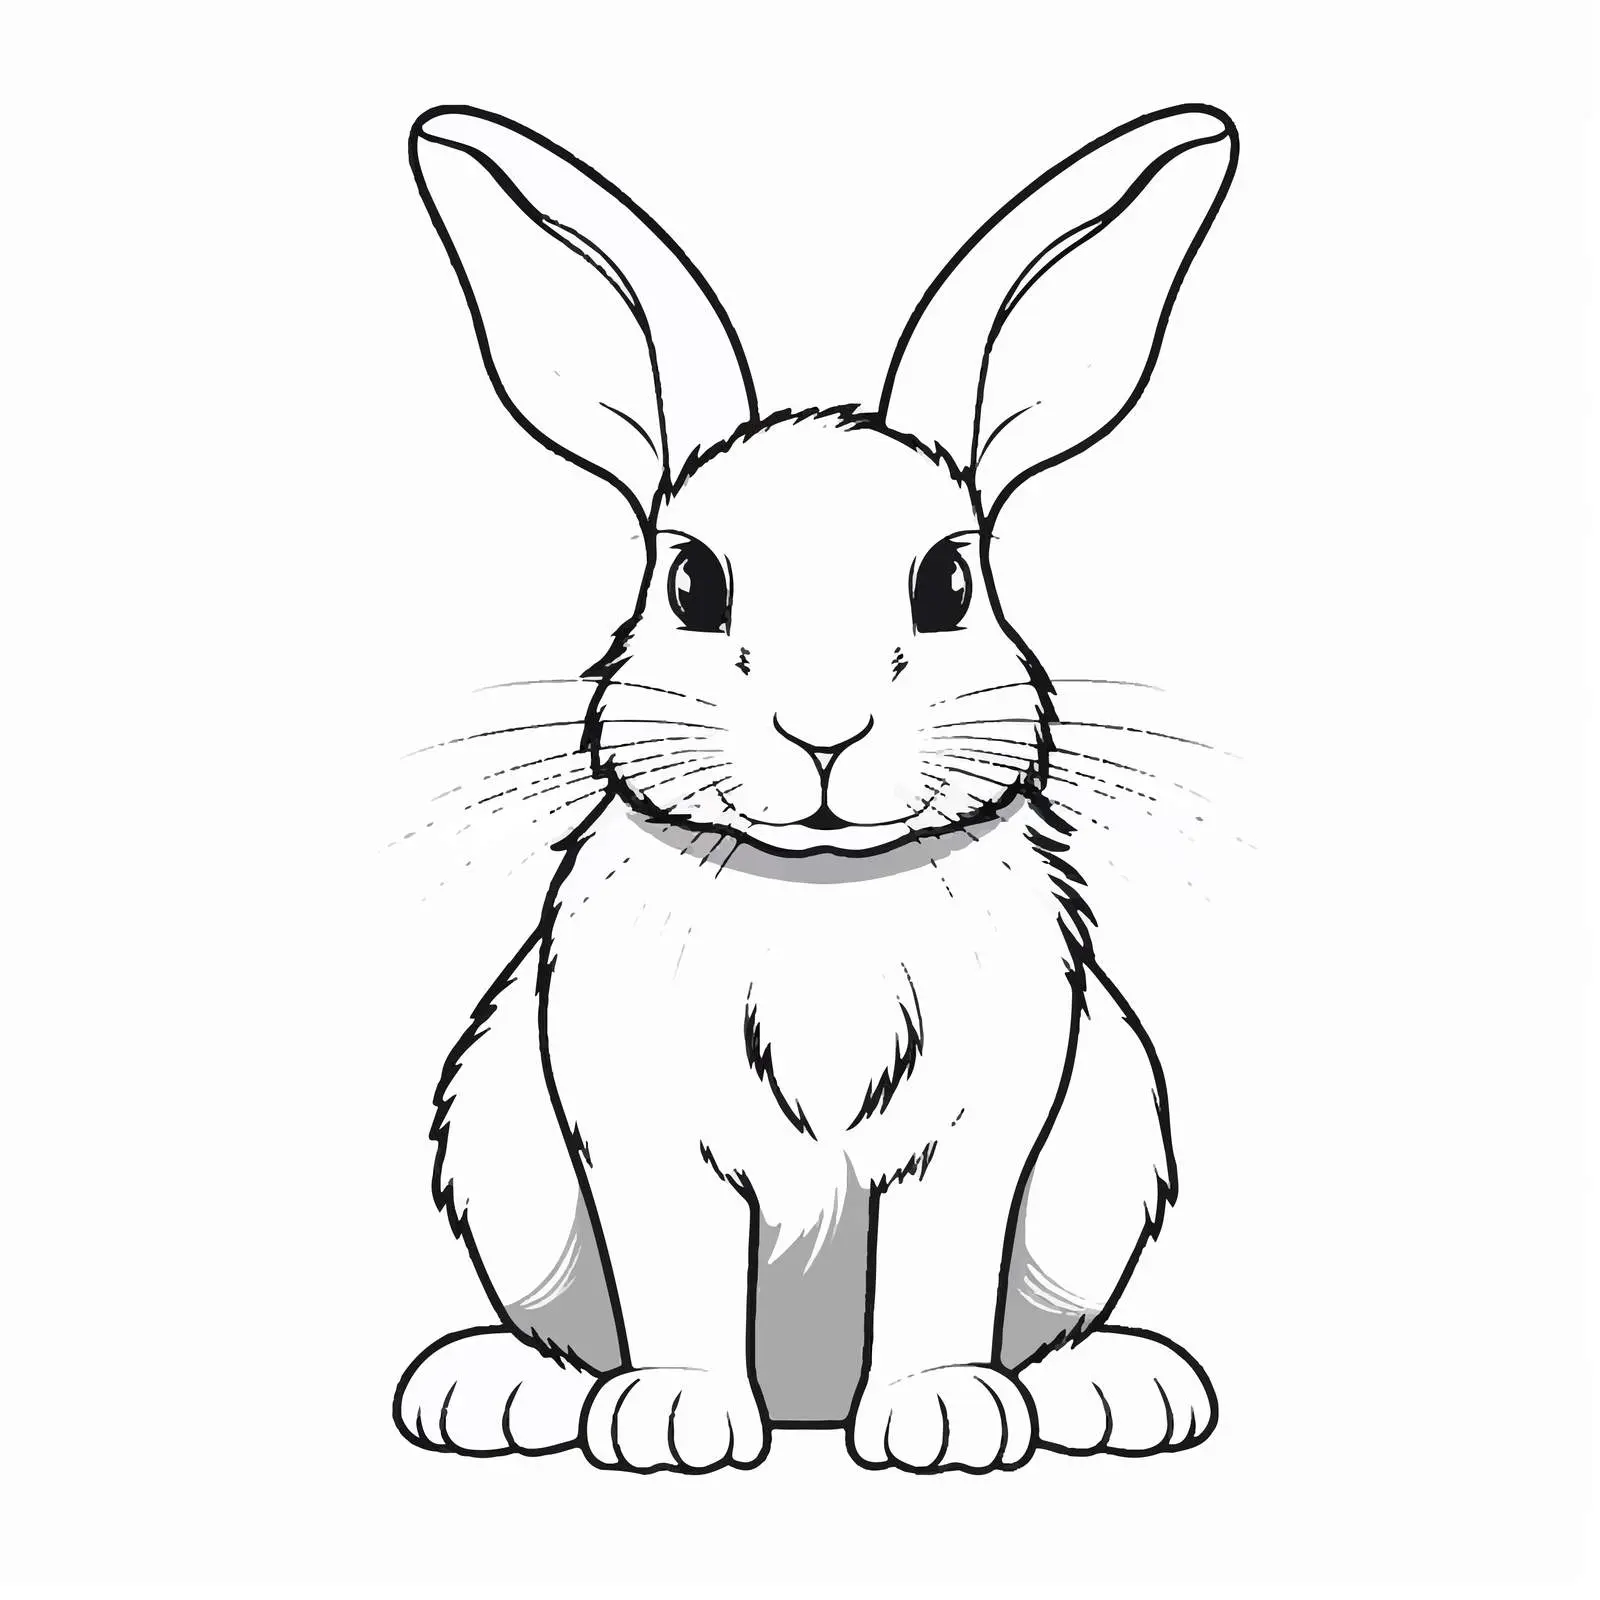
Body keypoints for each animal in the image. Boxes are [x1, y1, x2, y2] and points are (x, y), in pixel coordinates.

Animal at [394, 101, 1237, 1473]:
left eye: (948, 583)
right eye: (692, 584)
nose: (823, 733)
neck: (821, 891)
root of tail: (807, 1401)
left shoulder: (971, 1137)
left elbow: (939, 1275)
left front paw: (943, 1418)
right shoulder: (642, 1131)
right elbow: (676, 1273)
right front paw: (672, 1418)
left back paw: (1117, 1389)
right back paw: (493, 1391)